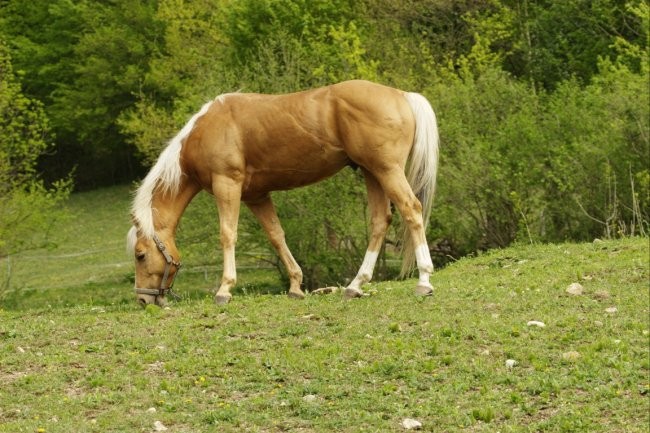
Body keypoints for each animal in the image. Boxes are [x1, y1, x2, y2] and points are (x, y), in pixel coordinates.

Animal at [125, 79, 440, 306]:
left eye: (140, 255)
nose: (143, 300)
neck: (207, 130)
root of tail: (402, 95)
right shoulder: (256, 196)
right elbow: (276, 236)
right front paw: (296, 286)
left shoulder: (227, 185)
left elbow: (228, 234)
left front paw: (225, 289)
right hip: (372, 172)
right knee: (379, 222)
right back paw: (355, 285)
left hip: (387, 171)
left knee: (411, 209)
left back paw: (424, 281)